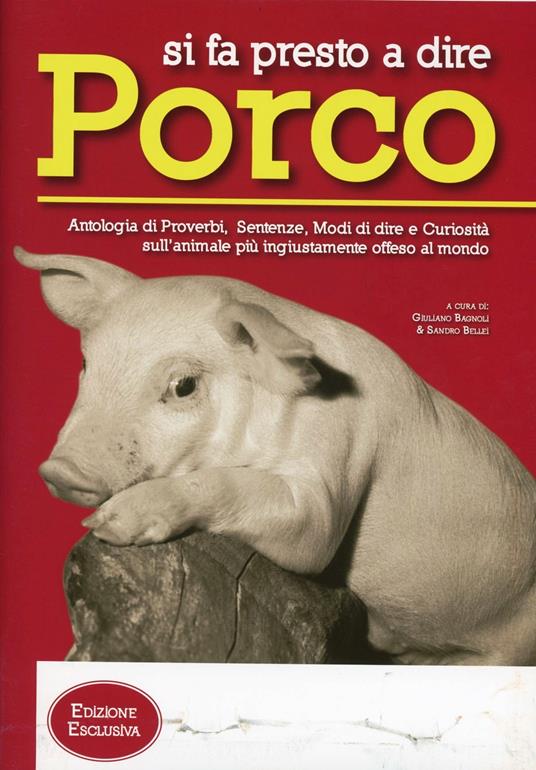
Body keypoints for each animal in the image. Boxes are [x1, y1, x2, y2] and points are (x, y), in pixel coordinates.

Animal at [15, 246, 536, 665]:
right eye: (87, 364)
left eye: (183, 385)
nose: (60, 469)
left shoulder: (336, 454)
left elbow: (307, 534)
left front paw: (109, 523)